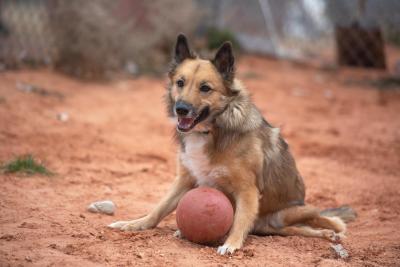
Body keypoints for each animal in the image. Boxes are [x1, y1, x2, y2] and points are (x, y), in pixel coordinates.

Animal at [109, 33, 356, 255]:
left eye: (205, 88)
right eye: (180, 83)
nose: (181, 109)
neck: (211, 130)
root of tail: (265, 225)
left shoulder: (247, 190)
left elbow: (239, 220)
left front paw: (231, 244)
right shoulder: (185, 180)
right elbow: (158, 209)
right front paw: (133, 224)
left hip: (295, 211)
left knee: (325, 220)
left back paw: (330, 233)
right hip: (276, 226)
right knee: (296, 229)